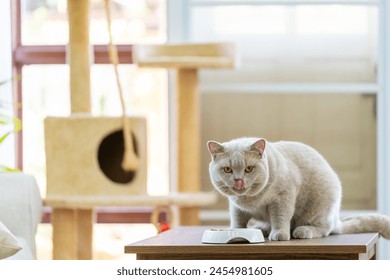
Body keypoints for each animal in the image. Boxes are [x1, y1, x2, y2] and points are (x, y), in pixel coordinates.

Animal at [207, 138, 390, 241]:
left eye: (249, 169)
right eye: (228, 170)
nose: (238, 181)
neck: (250, 200)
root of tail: (337, 219)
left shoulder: (283, 196)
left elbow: (281, 217)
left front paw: (280, 234)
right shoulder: (236, 206)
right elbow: (238, 220)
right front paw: (235, 231)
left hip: (321, 204)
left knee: (324, 229)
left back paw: (301, 231)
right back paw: (261, 229)